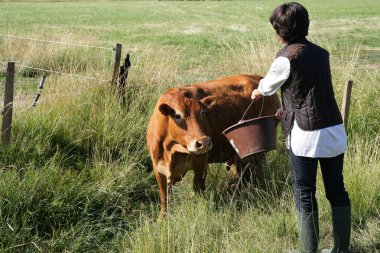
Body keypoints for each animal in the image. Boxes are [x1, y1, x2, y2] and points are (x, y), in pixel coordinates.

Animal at [145, 73, 280, 215]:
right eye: (177, 115)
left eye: (202, 113)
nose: (204, 142)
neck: (170, 150)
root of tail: (256, 76)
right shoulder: (157, 168)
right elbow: (164, 196)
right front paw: (162, 217)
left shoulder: (201, 162)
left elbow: (198, 188)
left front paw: (201, 208)